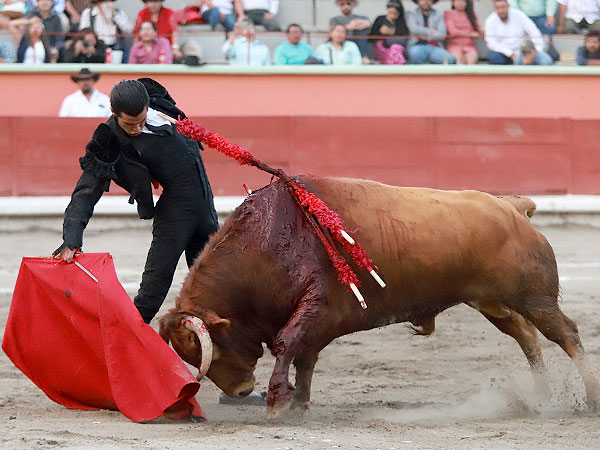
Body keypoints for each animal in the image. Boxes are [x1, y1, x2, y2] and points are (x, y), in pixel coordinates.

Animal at [159, 176, 600, 418]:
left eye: (209, 347)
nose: (239, 392)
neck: (268, 244)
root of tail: (511, 206)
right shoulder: (315, 322)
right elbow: (304, 358)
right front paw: (299, 403)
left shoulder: (316, 308)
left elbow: (287, 345)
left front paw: (278, 404)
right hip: (493, 302)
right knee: (527, 337)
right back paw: (541, 394)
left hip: (535, 297)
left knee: (567, 335)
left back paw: (590, 399)